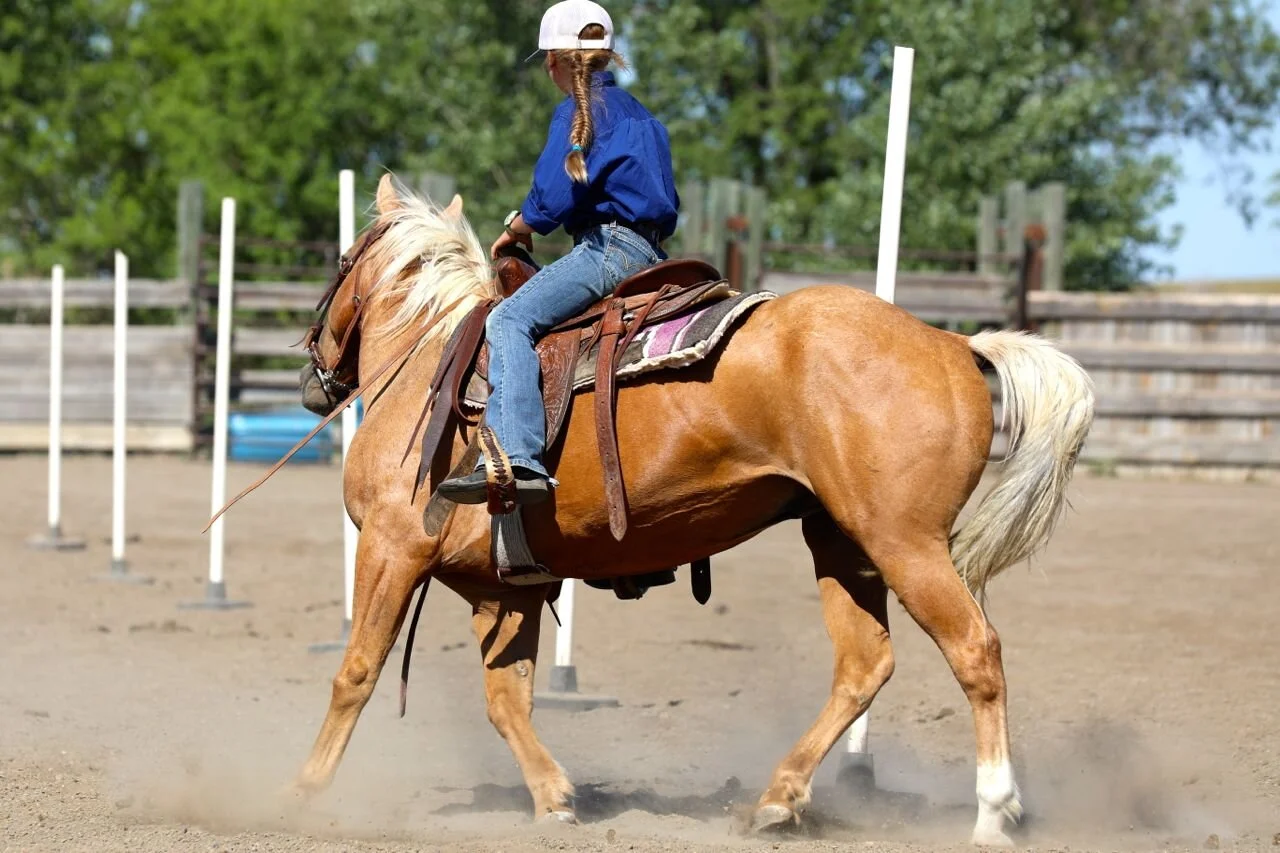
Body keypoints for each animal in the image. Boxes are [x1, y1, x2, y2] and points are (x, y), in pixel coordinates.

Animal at [285, 173, 1095, 846]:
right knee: (865, 664)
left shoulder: (392, 546)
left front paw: (306, 789)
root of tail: (955, 345)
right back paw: (778, 798)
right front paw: (554, 800)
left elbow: (357, 670)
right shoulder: (505, 585)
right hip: (843, 543)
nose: (313, 377)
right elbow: (506, 699)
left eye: (341, 261)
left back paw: (993, 811)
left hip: (907, 544)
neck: (429, 365)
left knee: (975, 650)